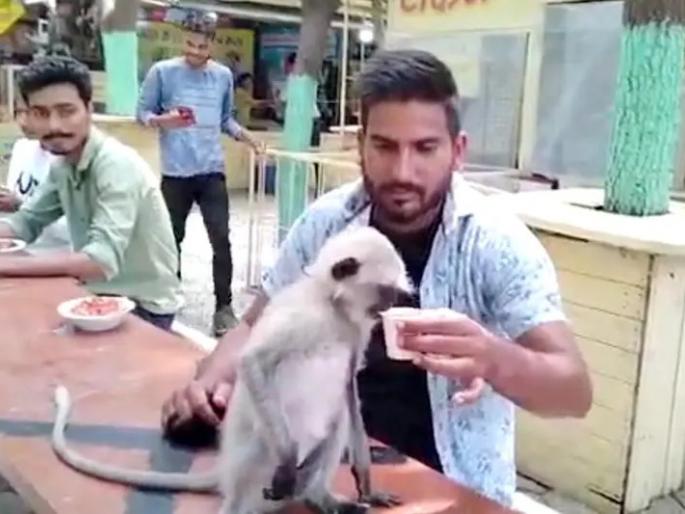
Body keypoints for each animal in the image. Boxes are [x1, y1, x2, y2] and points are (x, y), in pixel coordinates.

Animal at [50, 225, 413, 514]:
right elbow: (253, 362)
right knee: (266, 444)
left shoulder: (355, 330)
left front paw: (365, 480)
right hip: (256, 449)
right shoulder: (305, 314)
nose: (389, 305)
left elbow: (349, 385)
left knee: (337, 422)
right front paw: (287, 461)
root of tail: (225, 470)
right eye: (385, 291)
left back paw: (318, 496)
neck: (332, 307)